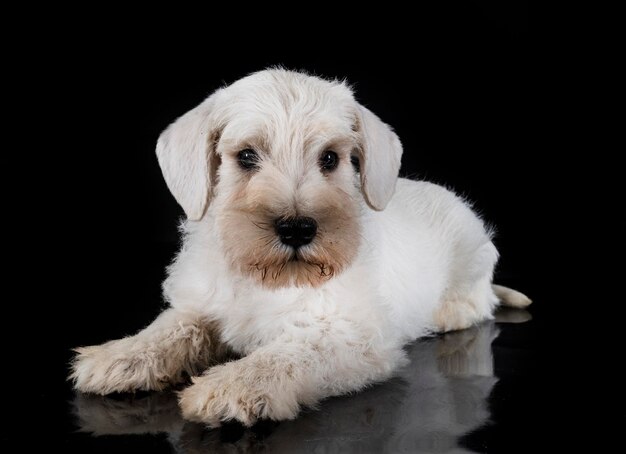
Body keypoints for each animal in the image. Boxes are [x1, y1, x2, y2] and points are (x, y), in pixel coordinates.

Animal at [70, 67, 528, 426]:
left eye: (330, 158)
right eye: (246, 156)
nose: (296, 230)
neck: (267, 278)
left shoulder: (350, 336)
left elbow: (287, 354)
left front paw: (233, 385)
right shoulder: (201, 305)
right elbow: (171, 328)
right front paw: (122, 355)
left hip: (472, 251)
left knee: (479, 299)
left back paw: (449, 312)